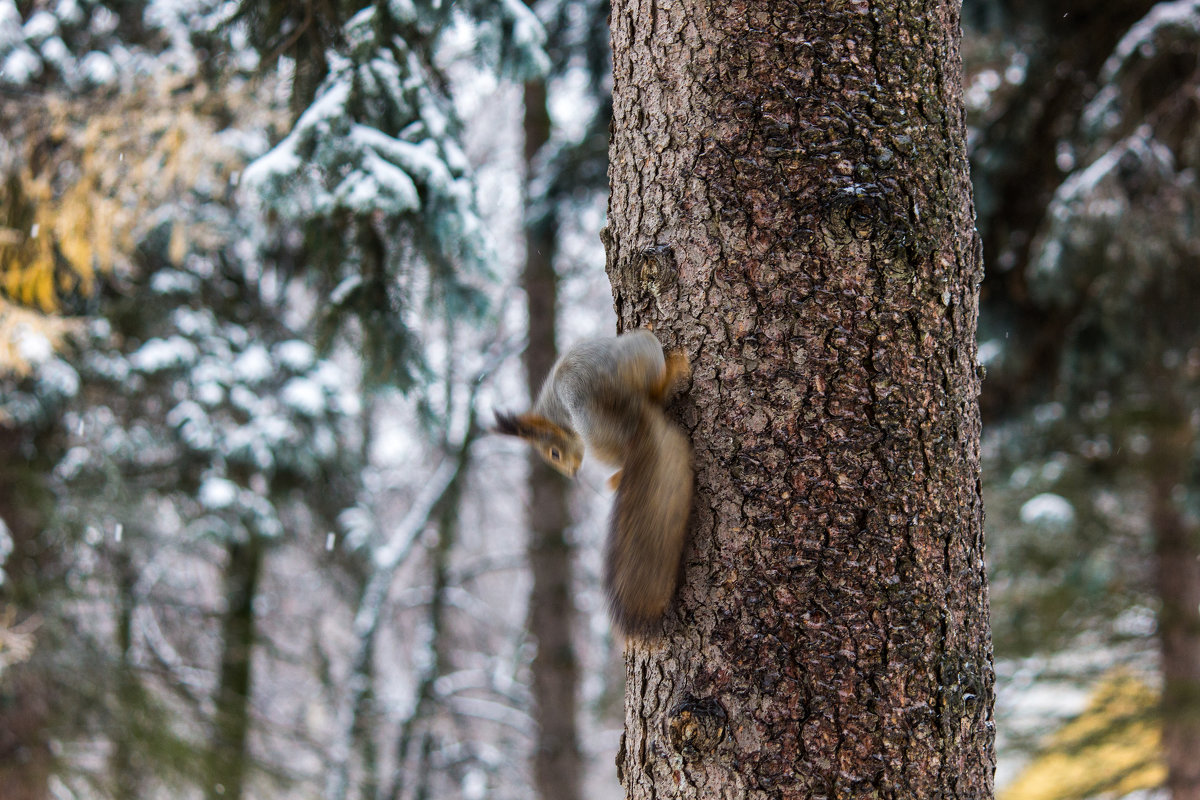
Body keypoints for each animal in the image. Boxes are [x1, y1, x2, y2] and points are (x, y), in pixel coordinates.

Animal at [492, 328, 691, 633]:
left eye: (554, 453)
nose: (573, 474)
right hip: (641, 352)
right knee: (655, 395)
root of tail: (631, 414)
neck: (555, 415)